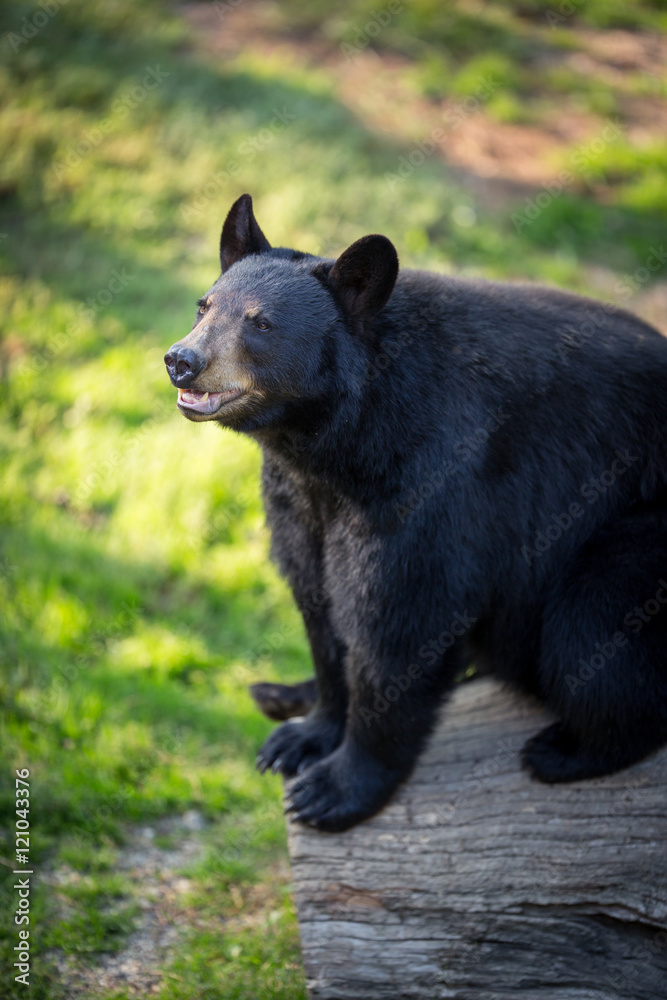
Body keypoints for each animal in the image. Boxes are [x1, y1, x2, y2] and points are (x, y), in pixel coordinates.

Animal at [165, 193, 667, 832]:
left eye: (260, 323)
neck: (343, 444)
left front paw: (335, 787)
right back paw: (280, 694)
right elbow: (319, 601)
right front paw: (306, 735)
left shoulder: (434, 480)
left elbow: (400, 618)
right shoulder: (302, 499)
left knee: (591, 628)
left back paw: (567, 750)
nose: (182, 359)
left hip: (637, 535)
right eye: (204, 305)